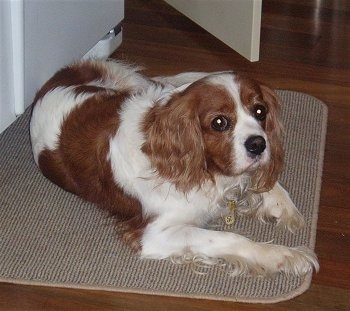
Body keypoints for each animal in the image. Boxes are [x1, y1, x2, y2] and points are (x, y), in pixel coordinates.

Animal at [30, 59, 320, 278]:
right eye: (219, 122)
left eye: (260, 111)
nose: (259, 144)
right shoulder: (155, 234)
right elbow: (230, 238)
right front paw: (283, 255)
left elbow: (261, 181)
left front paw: (280, 203)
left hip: (137, 86)